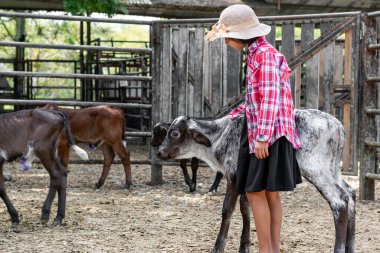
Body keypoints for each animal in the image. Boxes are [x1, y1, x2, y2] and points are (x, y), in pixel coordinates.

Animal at [157, 109, 356, 253]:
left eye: (175, 133)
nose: (160, 152)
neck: (221, 134)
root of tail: (336, 124)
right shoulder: (247, 180)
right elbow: (245, 209)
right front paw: (244, 246)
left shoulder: (233, 174)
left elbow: (228, 209)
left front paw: (218, 247)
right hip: (333, 169)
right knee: (350, 193)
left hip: (315, 168)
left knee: (339, 200)